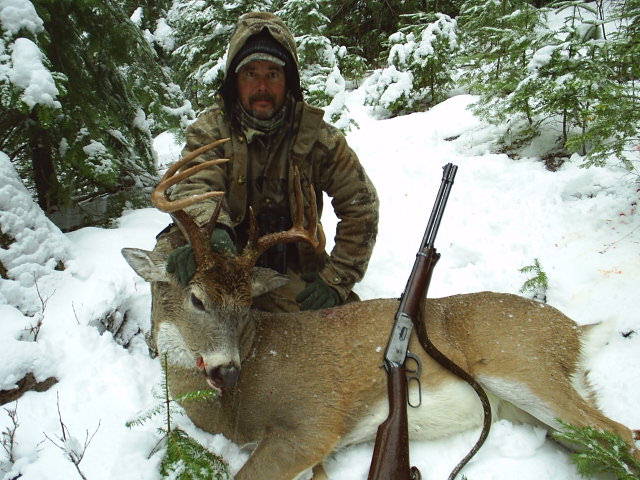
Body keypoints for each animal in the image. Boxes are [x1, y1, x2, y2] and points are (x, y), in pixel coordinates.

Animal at [121, 140, 640, 480]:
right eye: (196, 298)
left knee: (620, 432)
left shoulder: (313, 421)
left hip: (523, 365)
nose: (226, 368)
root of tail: (574, 331)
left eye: (246, 303)